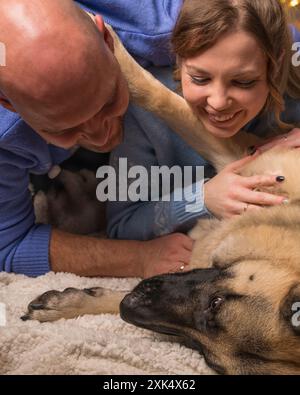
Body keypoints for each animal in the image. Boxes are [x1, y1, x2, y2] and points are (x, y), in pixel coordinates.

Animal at [21, 27, 300, 374]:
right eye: (216, 303)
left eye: (207, 356)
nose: (130, 311)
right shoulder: (235, 158)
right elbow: (159, 97)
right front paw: (109, 45)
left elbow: (127, 291)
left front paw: (73, 304)